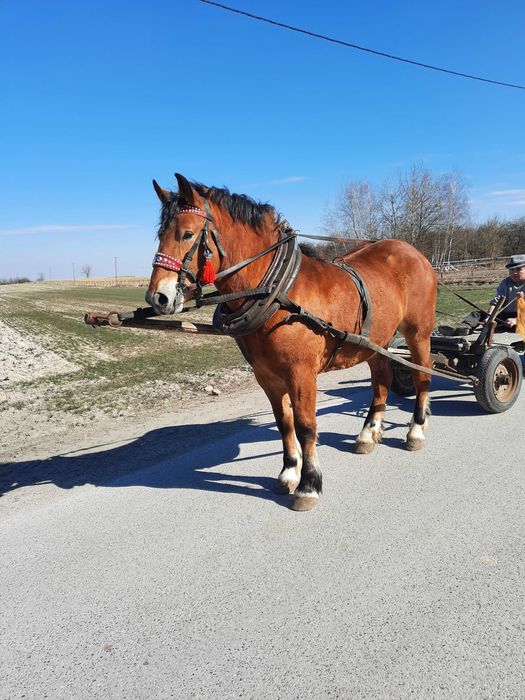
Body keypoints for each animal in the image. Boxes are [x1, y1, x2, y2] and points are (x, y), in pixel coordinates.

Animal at [145, 172, 436, 512]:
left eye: (187, 234)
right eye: (160, 234)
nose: (158, 297)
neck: (278, 294)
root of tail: (412, 252)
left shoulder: (301, 373)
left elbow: (307, 425)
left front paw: (309, 485)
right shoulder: (267, 376)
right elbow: (285, 423)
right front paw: (288, 473)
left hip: (418, 334)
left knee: (422, 375)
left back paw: (416, 430)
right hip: (375, 339)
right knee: (381, 379)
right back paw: (368, 433)